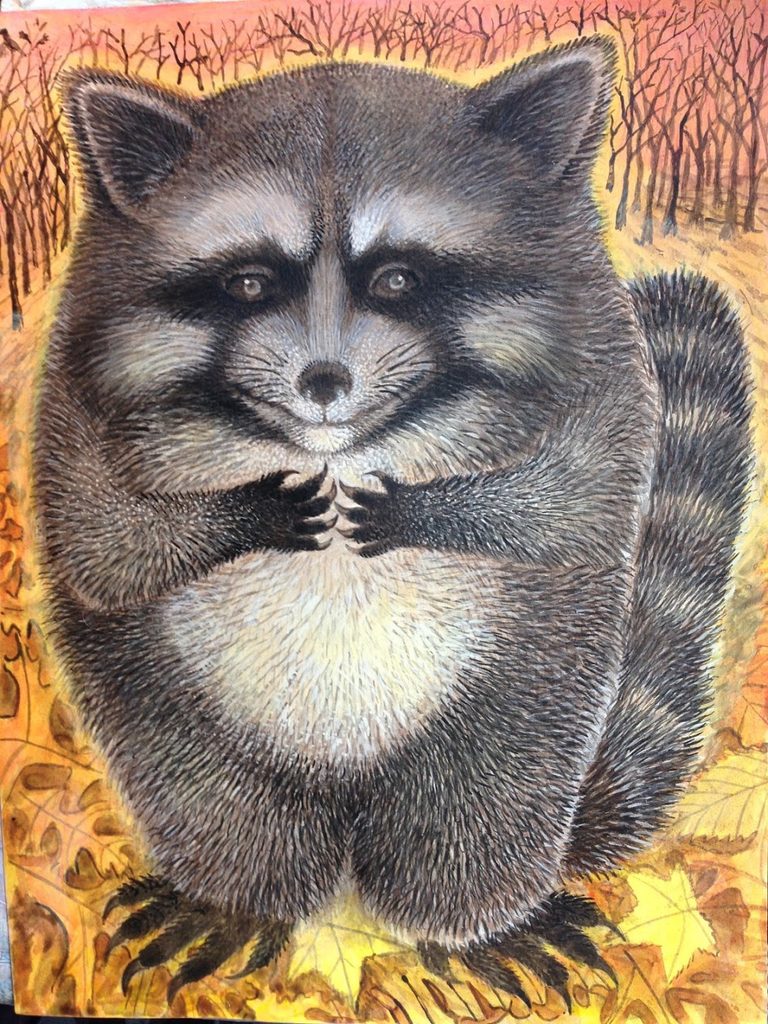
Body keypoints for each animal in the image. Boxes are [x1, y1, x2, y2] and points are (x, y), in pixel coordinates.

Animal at [35, 37, 752, 1008]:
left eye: (399, 278)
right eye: (249, 281)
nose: (324, 381)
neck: (337, 450)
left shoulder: (603, 372)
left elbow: (565, 505)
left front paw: (440, 508)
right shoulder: (74, 406)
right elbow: (106, 545)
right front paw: (238, 512)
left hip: (526, 680)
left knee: (485, 789)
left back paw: (472, 918)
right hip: (167, 694)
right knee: (208, 788)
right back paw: (236, 898)